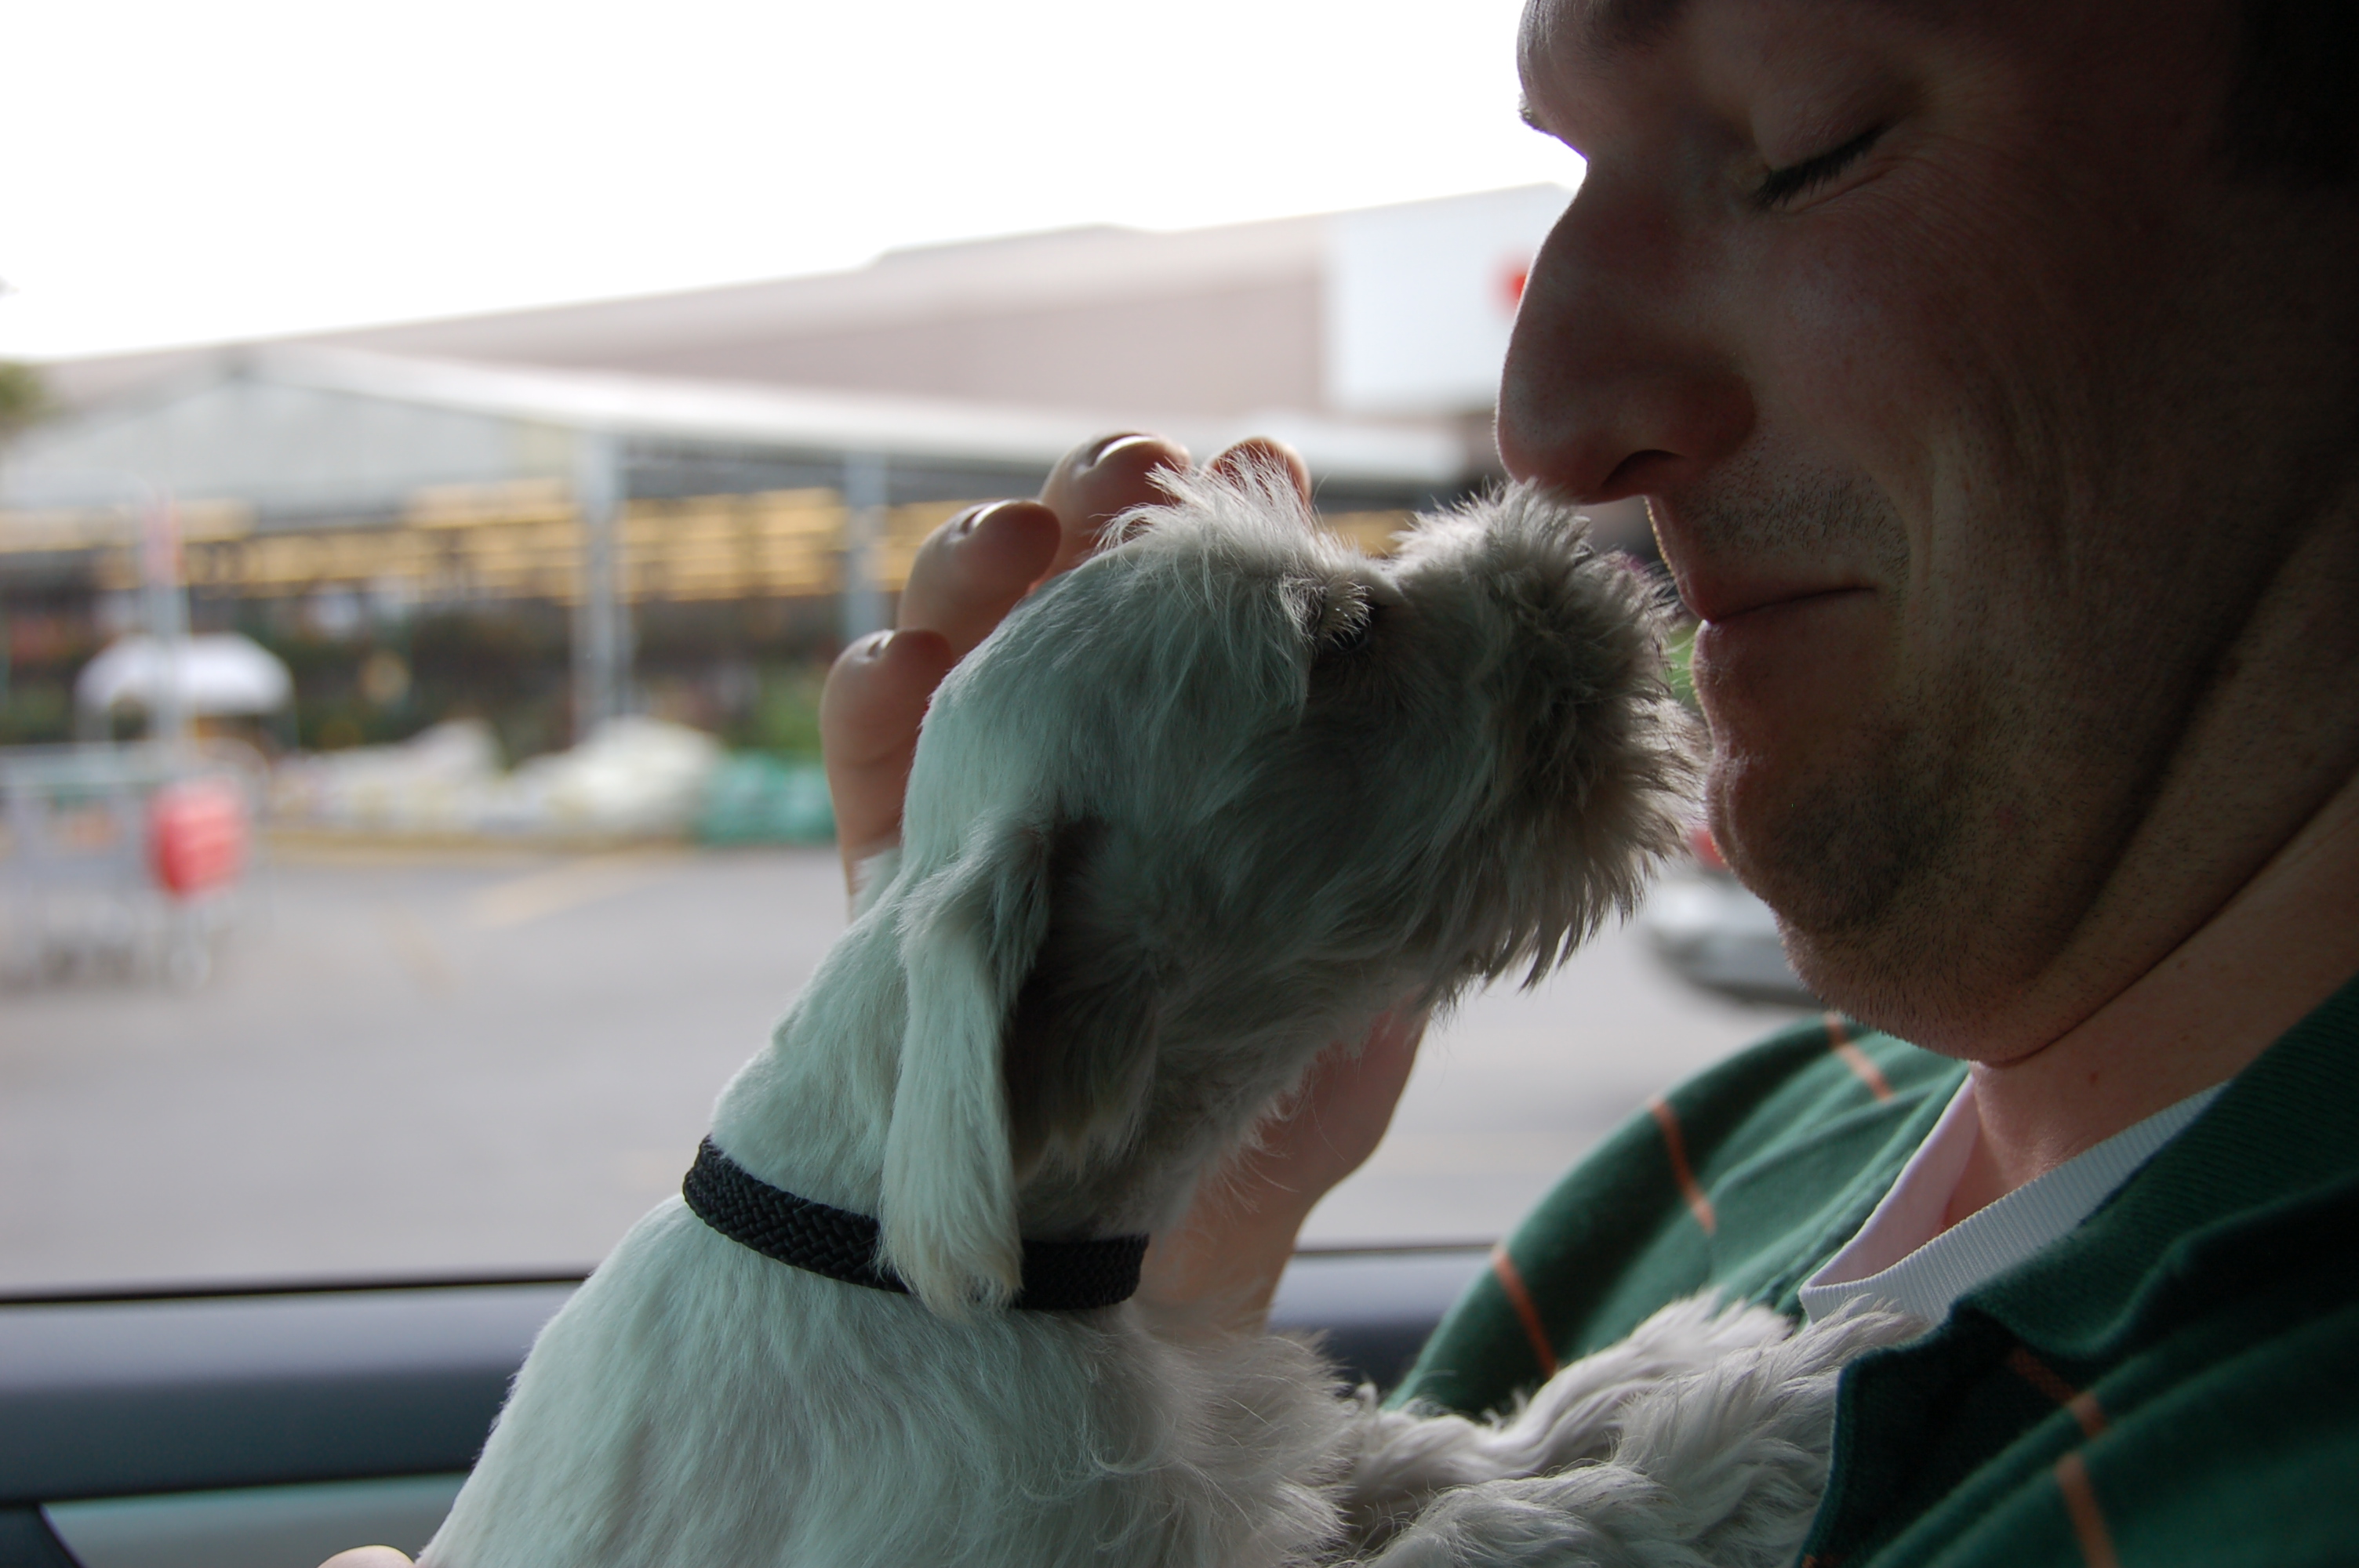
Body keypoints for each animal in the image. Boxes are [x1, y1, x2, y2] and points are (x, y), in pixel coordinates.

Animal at [421, 469, 1904, 1568]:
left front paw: (1648, 1375)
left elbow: (1408, 1452)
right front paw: (1735, 1437)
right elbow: (1477, 1536)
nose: (1571, 544)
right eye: (1343, 632)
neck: (888, 1246)